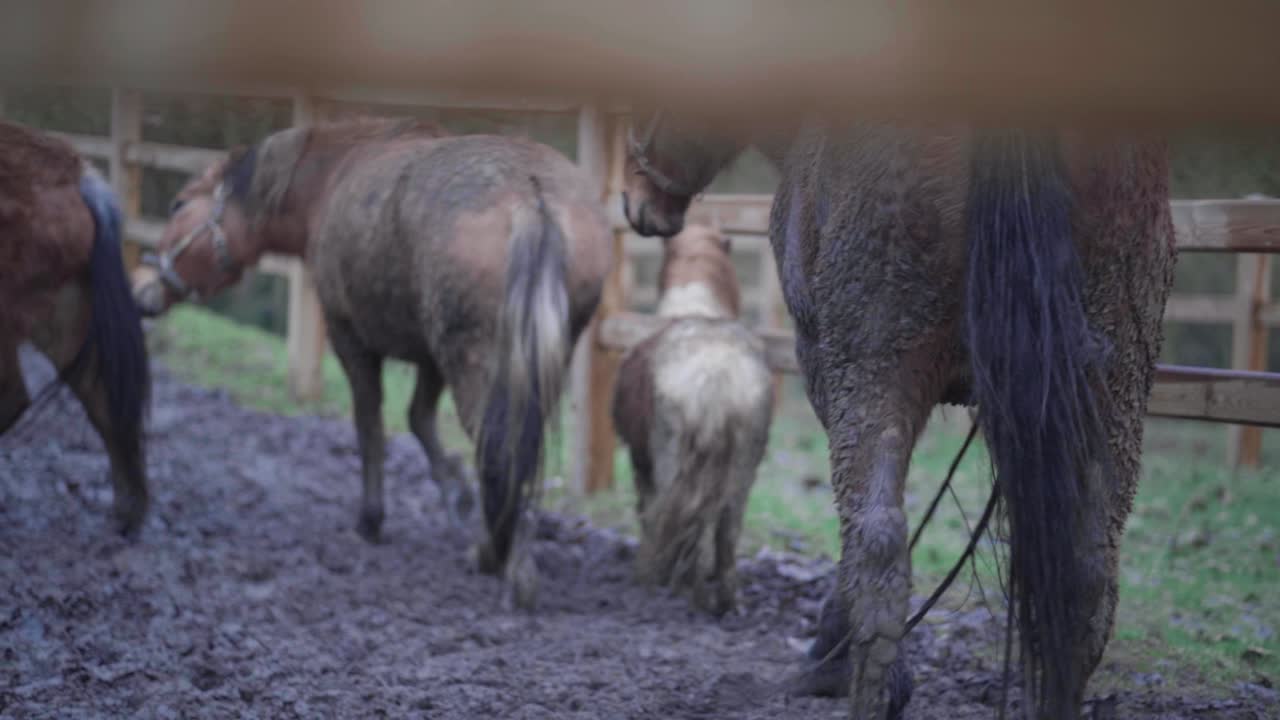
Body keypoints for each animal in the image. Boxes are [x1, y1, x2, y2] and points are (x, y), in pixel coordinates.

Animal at [131, 116, 613, 608]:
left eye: (178, 205)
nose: (142, 287)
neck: (334, 178)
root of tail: (532, 201)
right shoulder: (429, 356)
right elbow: (419, 420)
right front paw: (455, 492)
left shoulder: (352, 340)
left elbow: (370, 428)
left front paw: (372, 519)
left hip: (475, 362)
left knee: (501, 447)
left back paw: (497, 558)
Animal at [612, 224, 773, 616]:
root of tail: (717, 376)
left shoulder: (641, 460)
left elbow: (648, 511)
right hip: (743, 468)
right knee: (726, 528)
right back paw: (726, 599)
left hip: (672, 461)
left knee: (680, 519)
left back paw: (684, 589)